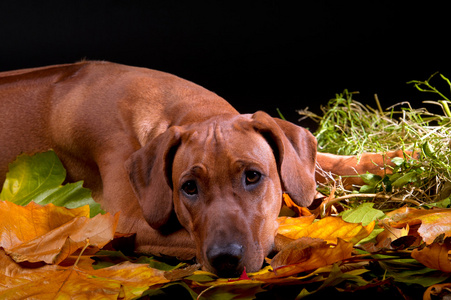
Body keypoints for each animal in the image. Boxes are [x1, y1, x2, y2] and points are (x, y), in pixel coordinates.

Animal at [0, 61, 400, 276]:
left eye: (252, 176)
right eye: (188, 187)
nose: (226, 260)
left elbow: (325, 163)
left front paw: (394, 158)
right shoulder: (125, 219)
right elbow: (278, 230)